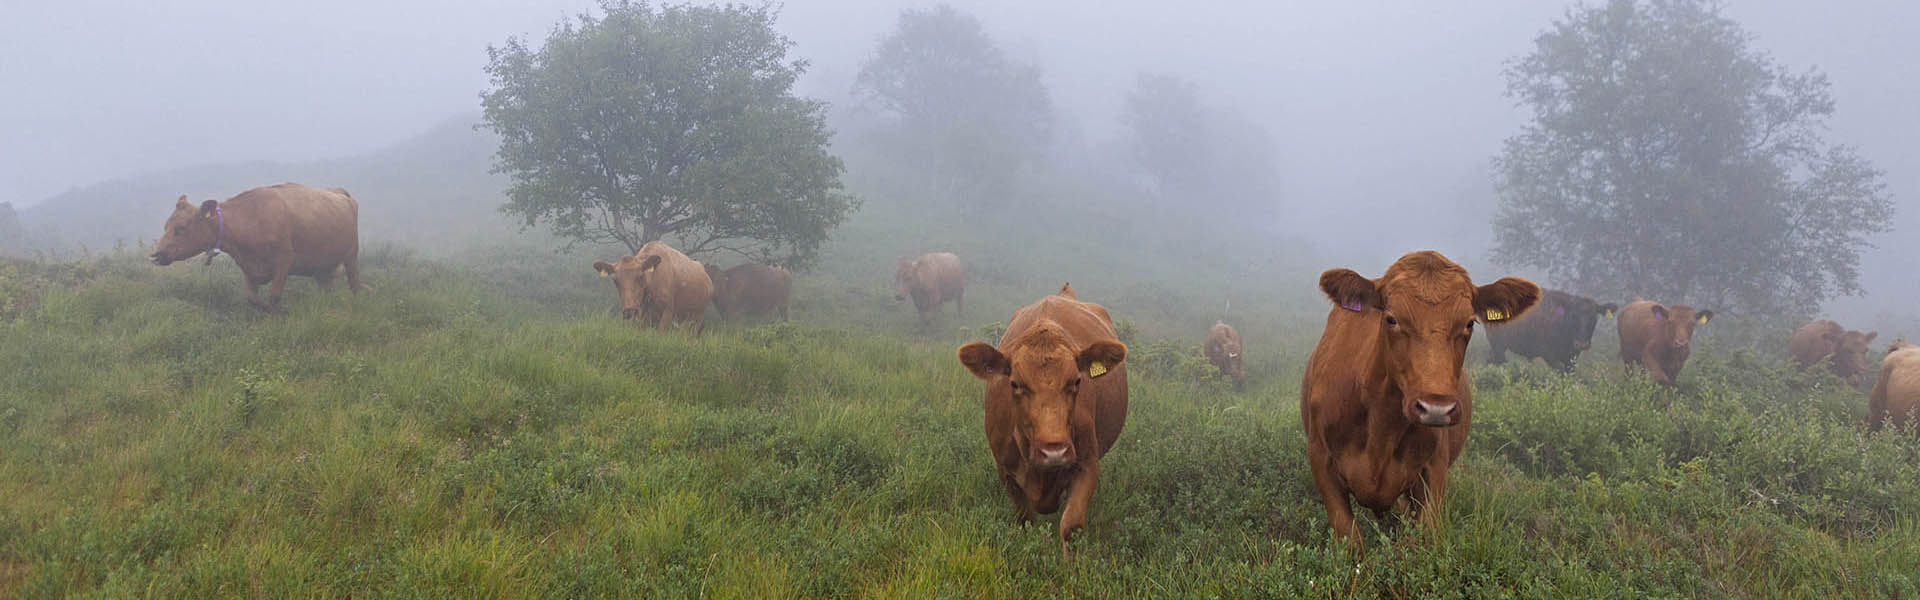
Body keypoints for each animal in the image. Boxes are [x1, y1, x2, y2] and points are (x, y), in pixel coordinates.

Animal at [147, 182, 360, 313]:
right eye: (165, 226)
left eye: (181, 228)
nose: (157, 254)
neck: (249, 220)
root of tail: (340, 192)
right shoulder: (248, 267)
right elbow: (252, 298)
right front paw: (273, 312)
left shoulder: (284, 260)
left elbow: (274, 296)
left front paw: (279, 315)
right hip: (322, 265)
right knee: (327, 287)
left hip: (351, 254)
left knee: (354, 282)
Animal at [1297, 248, 1536, 550]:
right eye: (1391, 319)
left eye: (1469, 322)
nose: (1436, 408)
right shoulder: (1320, 457)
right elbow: (1349, 538)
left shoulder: (1434, 469)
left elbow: (1426, 536)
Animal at [1482, 290, 1620, 371]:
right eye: (1573, 315)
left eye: (1594, 317)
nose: (1582, 344)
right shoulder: (1548, 354)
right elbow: (1559, 370)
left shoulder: (1572, 357)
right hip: (1498, 346)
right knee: (1498, 360)